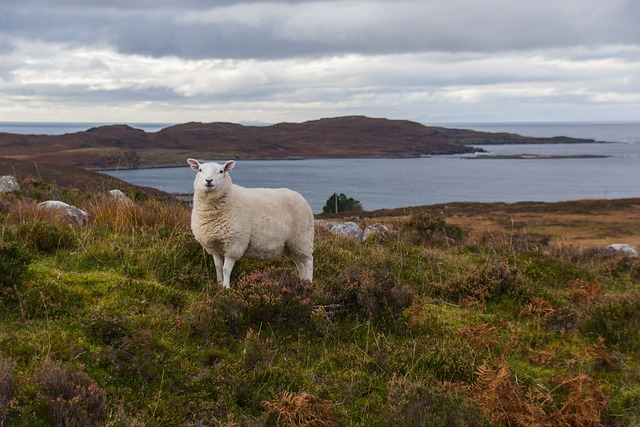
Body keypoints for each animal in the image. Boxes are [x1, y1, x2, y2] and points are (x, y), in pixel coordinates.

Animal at [186, 159, 314, 290]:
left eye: (221, 171)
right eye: (200, 170)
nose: (208, 180)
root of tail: (300, 196)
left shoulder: (234, 244)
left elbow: (226, 269)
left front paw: (226, 288)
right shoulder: (214, 246)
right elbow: (218, 267)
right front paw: (219, 285)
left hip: (301, 238)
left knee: (308, 261)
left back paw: (309, 284)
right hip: (290, 244)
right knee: (299, 263)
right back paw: (302, 282)